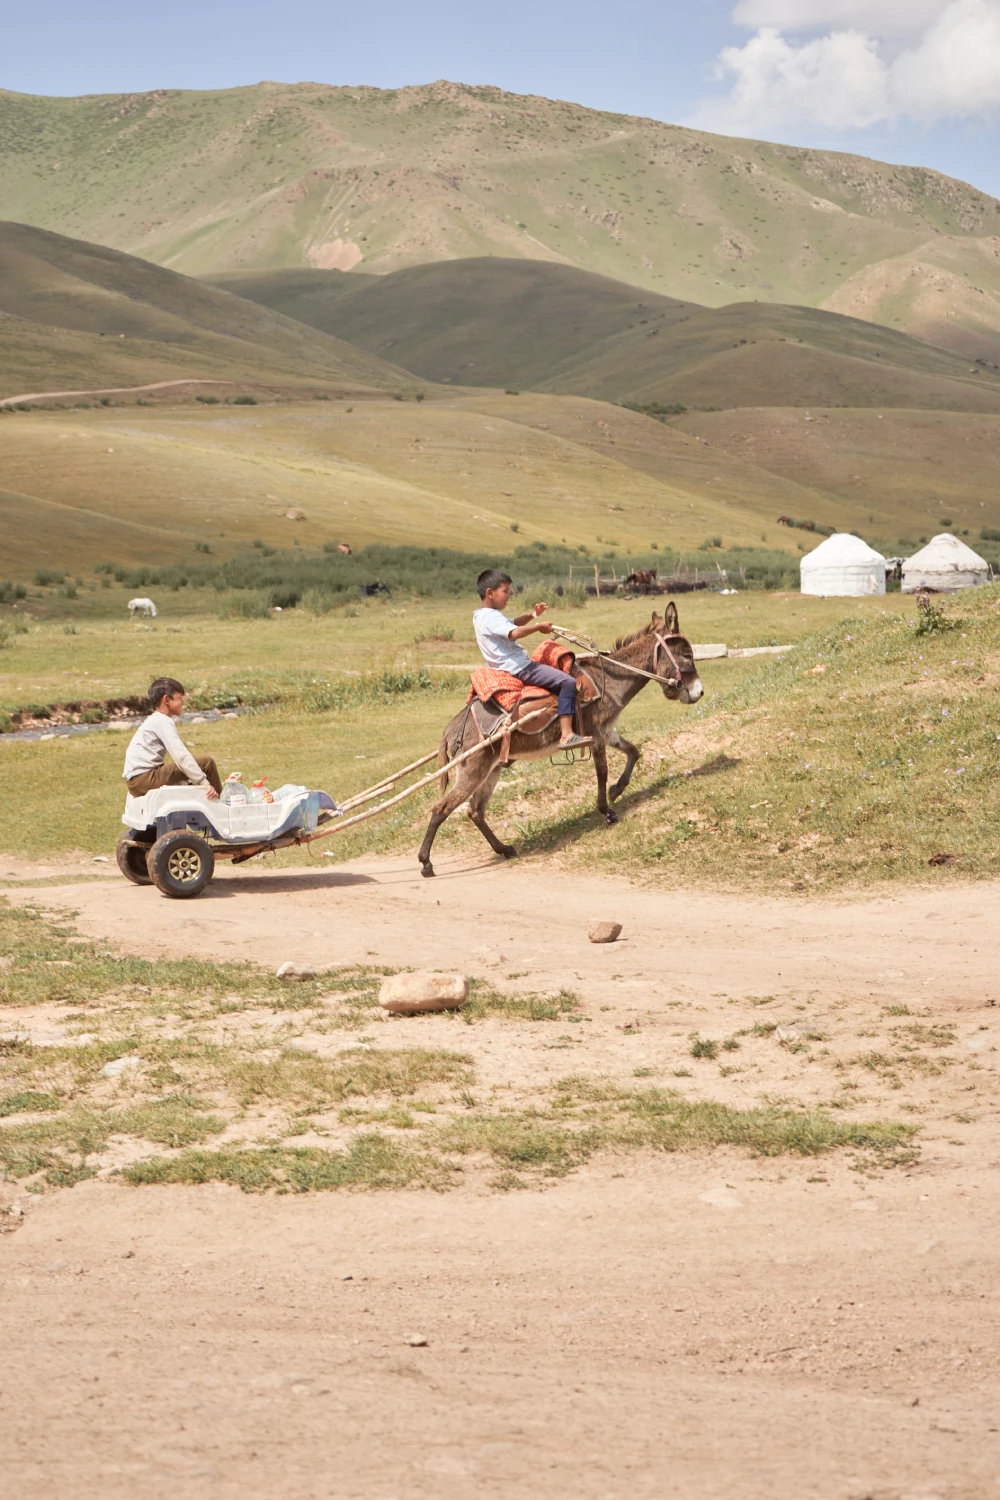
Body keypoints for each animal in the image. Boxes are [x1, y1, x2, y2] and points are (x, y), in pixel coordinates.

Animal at [416, 600, 704, 876]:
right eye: (688, 655)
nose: (699, 692)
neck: (607, 679)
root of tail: (452, 726)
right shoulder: (596, 735)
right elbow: (602, 771)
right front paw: (607, 810)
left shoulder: (608, 731)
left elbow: (634, 752)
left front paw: (617, 790)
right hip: (473, 769)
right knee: (441, 809)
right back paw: (426, 863)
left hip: (492, 768)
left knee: (475, 811)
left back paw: (504, 849)